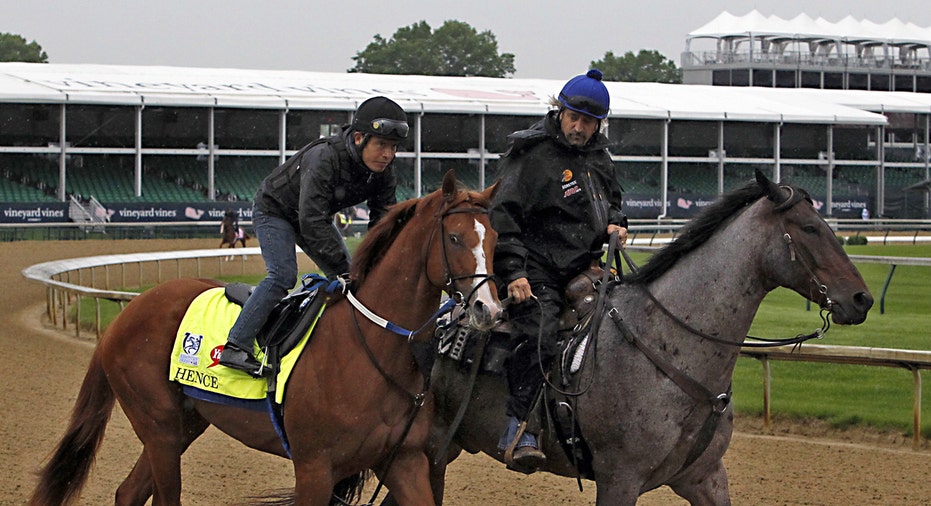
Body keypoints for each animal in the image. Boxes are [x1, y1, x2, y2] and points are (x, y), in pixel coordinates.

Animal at [31, 171, 502, 506]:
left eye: (495, 239)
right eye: (455, 237)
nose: (489, 310)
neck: (370, 349)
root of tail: (125, 314)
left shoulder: (402, 460)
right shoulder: (314, 469)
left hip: (182, 424)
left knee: (127, 492)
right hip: (157, 424)